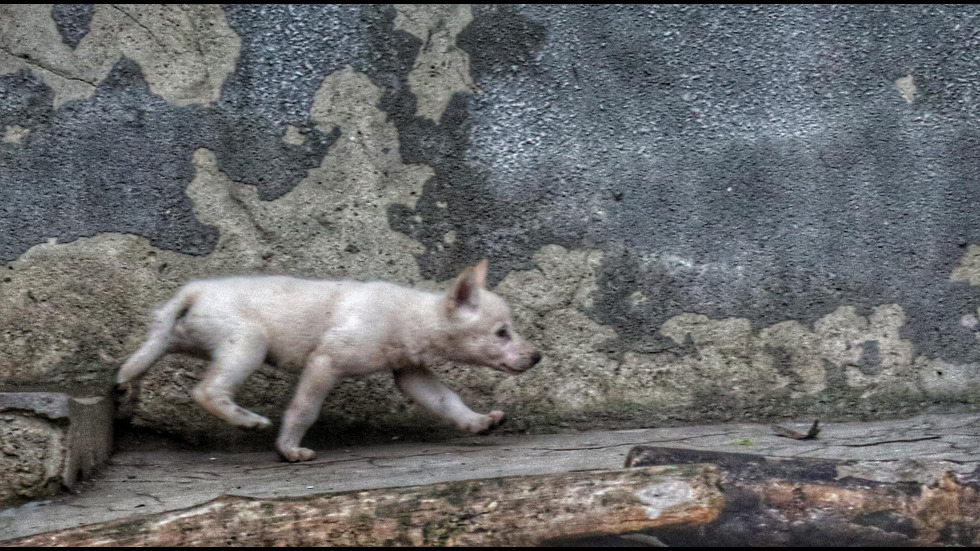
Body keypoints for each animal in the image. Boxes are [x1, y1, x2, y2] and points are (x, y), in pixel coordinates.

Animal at [119, 260, 544, 464]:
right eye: (502, 333)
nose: (537, 356)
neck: (411, 316)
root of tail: (195, 290)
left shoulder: (411, 373)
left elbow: (447, 400)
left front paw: (477, 422)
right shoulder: (325, 362)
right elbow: (304, 410)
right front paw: (288, 450)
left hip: (192, 336)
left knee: (159, 340)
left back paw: (129, 374)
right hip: (249, 343)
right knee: (207, 391)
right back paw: (247, 420)